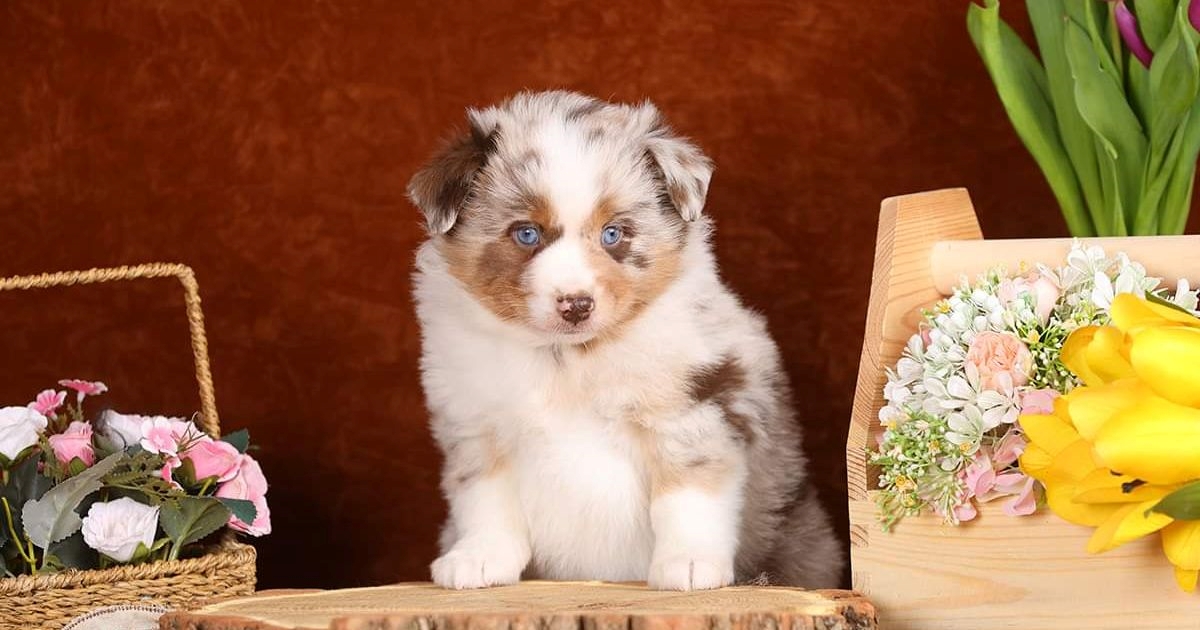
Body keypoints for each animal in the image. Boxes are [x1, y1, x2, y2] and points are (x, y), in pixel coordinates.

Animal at [408, 90, 841, 591]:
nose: (576, 304)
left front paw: (689, 564)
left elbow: (688, 493)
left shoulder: (692, 406)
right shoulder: (477, 424)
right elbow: (484, 498)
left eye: (613, 233)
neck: (566, 358)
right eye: (527, 234)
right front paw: (477, 558)